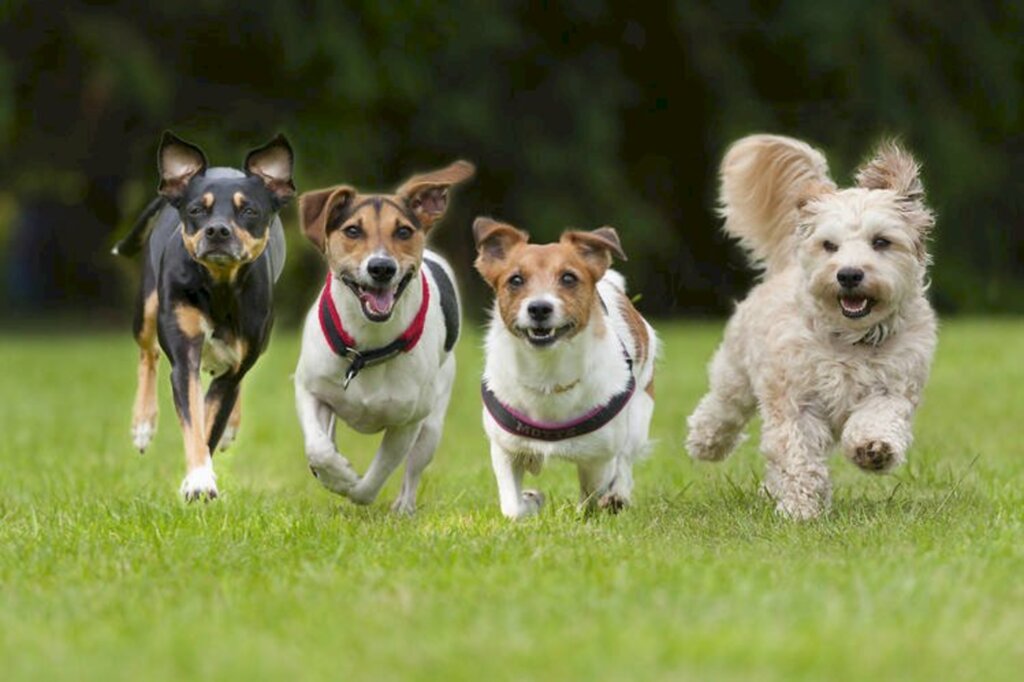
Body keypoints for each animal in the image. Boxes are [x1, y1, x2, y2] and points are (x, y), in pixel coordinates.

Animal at [114, 130, 294, 499]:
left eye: (249, 210)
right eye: (197, 209)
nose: (217, 230)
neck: (219, 287)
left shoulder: (234, 366)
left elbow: (211, 422)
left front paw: (199, 477)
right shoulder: (185, 359)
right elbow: (194, 422)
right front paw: (198, 479)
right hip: (147, 307)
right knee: (148, 353)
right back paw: (143, 424)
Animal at [294, 159, 473, 509]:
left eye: (403, 231)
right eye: (353, 230)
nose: (381, 267)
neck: (367, 349)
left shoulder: (407, 422)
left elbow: (373, 480)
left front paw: (350, 484)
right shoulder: (309, 388)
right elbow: (319, 447)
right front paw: (335, 471)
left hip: (432, 423)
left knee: (414, 466)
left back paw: (404, 506)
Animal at [471, 218, 655, 516]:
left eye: (569, 278)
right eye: (516, 280)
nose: (539, 308)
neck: (547, 372)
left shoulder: (598, 458)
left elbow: (592, 494)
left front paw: (592, 508)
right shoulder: (505, 449)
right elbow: (513, 508)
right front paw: (531, 501)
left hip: (639, 414)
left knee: (625, 460)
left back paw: (618, 495)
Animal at [688, 133, 937, 518]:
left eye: (881, 241)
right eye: (829, 245)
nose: (848, 274)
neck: (849, 340)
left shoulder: (894, 387)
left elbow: (879, 417)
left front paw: (873, 448)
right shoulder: (795, 401)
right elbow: (797, 454)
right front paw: (799, 509)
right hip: (737, 370)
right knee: (724, 405)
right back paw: (706, 440)